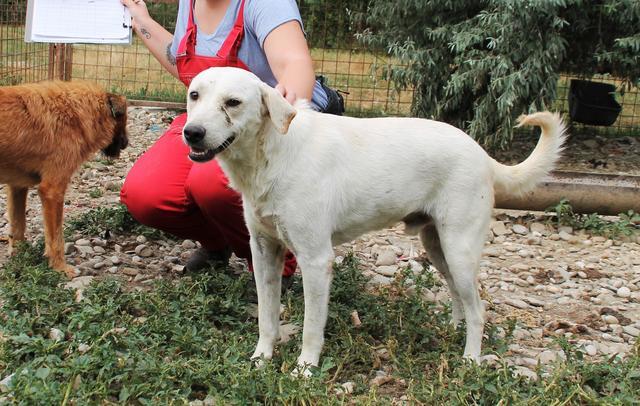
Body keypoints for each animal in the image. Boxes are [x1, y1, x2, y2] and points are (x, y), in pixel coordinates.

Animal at [0, 81, 127, 278]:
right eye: (125, 120)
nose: (127, 143)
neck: (72, 112)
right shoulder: (52, 190)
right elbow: (56, 238)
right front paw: (60, 267)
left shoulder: (17, 186)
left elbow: (18, 226)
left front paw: (19, 257)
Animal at [182, 66, 568, 374]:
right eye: (194, 95)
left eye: (233, 102)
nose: (192, 132)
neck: (272, 155)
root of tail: (482, 154)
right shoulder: (264, 252)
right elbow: (266, 317)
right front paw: (261, 359)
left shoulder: (316, 260)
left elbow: (311, 327)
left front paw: (304, 370)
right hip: (437, 247)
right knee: (460, 297)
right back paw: (453, 331)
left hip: (460, 250)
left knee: (479, 310)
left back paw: (470, 360)